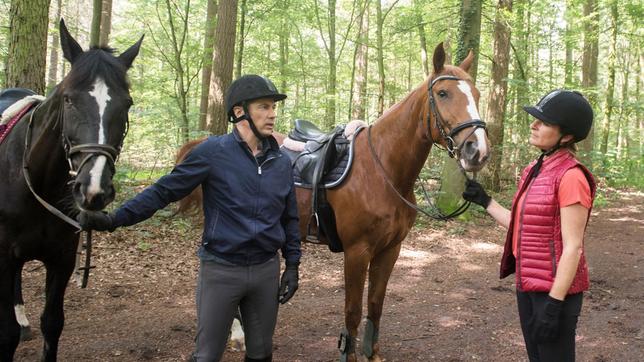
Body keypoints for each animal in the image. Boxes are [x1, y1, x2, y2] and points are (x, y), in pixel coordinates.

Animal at [175, 43, 488, 362]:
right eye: (443, 93)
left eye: (476, 95)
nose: (477, 151)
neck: (382, 171)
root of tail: (208, 143)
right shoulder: (357, 251)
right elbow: (353, 311)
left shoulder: (390, 249)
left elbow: (375, 305)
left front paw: (373, 354)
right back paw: (238, 335)